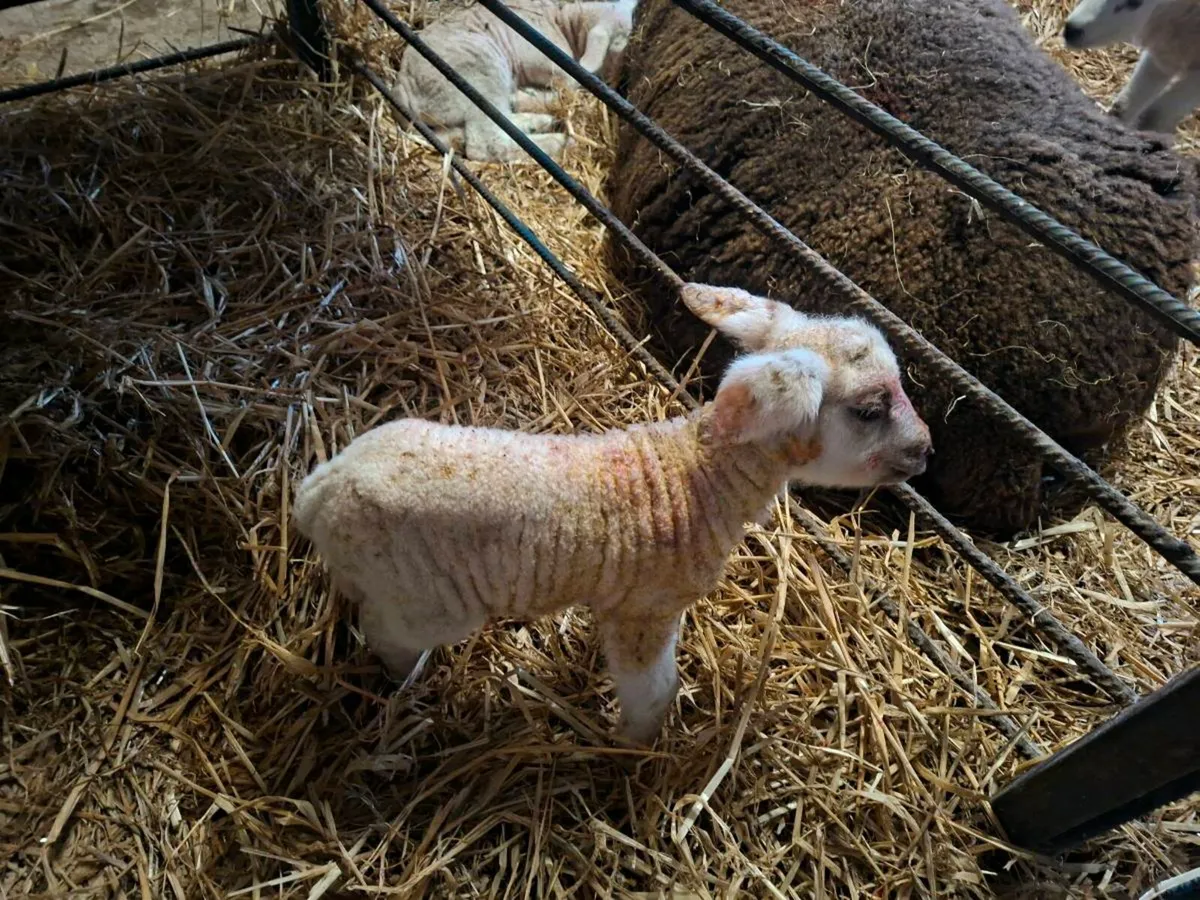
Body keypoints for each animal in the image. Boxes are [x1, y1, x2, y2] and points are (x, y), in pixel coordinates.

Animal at [293, 283, 932, 745]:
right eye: (870, 409)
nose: (926, 450)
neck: (696, 476)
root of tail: (319, 491)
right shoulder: (644, 610)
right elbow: (654, 689)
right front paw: (633, 745)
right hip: (421, 599)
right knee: (387, 636)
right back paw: (407, 684)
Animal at [393, 0, 637, 162]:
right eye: (620, 43)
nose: (615, 86)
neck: (563, 22)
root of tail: (402, 84)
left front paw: (525, 98)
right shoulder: (547, 62)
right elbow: (569, 87)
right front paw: (530, 97)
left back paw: (538, 121)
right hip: (479, 73)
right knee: (488, 144)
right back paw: (559, 142)